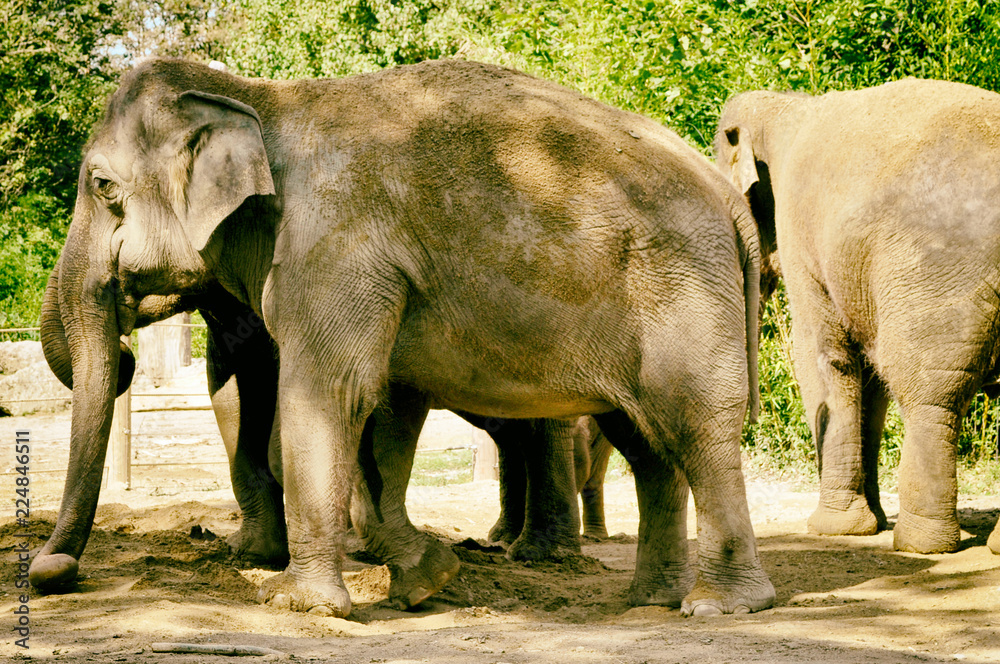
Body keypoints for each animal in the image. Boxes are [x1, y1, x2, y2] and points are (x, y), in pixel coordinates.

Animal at [30, 56, 772, 617]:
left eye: (103, 186)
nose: (51, 570)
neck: (256, 97)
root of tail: (727, 196)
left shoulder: (335, 247)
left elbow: (331, 389)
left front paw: (298, 602)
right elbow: (386, 407)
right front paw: (426, 575)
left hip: (680, 292)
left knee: (695, 423)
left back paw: (721, 605)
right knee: (645, 441)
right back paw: (652, 599)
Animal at [715, 78, 1000, 555]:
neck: (788, 106)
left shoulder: (801, 235)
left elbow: (822, 356)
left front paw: (833, 529)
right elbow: (869, 375)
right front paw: (870, 522)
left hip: (934, 277)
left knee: (930, 393)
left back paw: (920, 545)